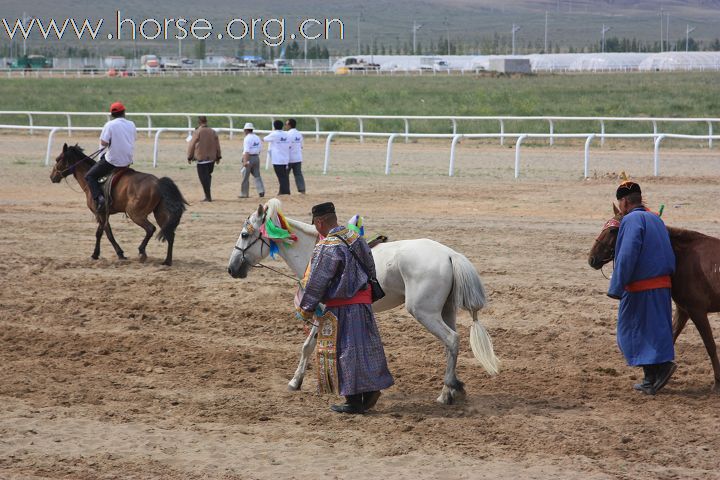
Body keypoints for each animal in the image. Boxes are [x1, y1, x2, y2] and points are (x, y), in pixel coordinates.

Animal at [49, 142, 187, 266]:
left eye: (58, 159)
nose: (52, 176)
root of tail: (158, 182)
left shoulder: (100, 213)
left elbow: (107, 233)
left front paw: (118, 254)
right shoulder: (103, 213)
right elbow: (100, 232)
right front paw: (96, 254)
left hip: (135, 214)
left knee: (150, 229)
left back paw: (142, 252)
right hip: (159, 214)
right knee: (169, 234)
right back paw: (167, 261)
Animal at [228, 199, 498, 404]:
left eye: (244, 234)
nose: (232, 268)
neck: (313, 250)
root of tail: (450, 254)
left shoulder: (322, 309)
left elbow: (309, 346)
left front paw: (297, 381)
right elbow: (308, 346)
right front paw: (298, 381)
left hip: (424, 312)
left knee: (451, 340)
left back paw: (445, 393)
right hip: (445, 312)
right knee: (451, 344)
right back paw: (454, 388)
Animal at [588, 204, 720, 392]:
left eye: (613, 230)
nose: (592, 258)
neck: (685, 256)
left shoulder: (697, 311)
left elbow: (710, 346)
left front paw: (717, 383)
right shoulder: (684, 310)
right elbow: (670, 337)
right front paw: (661, 373)